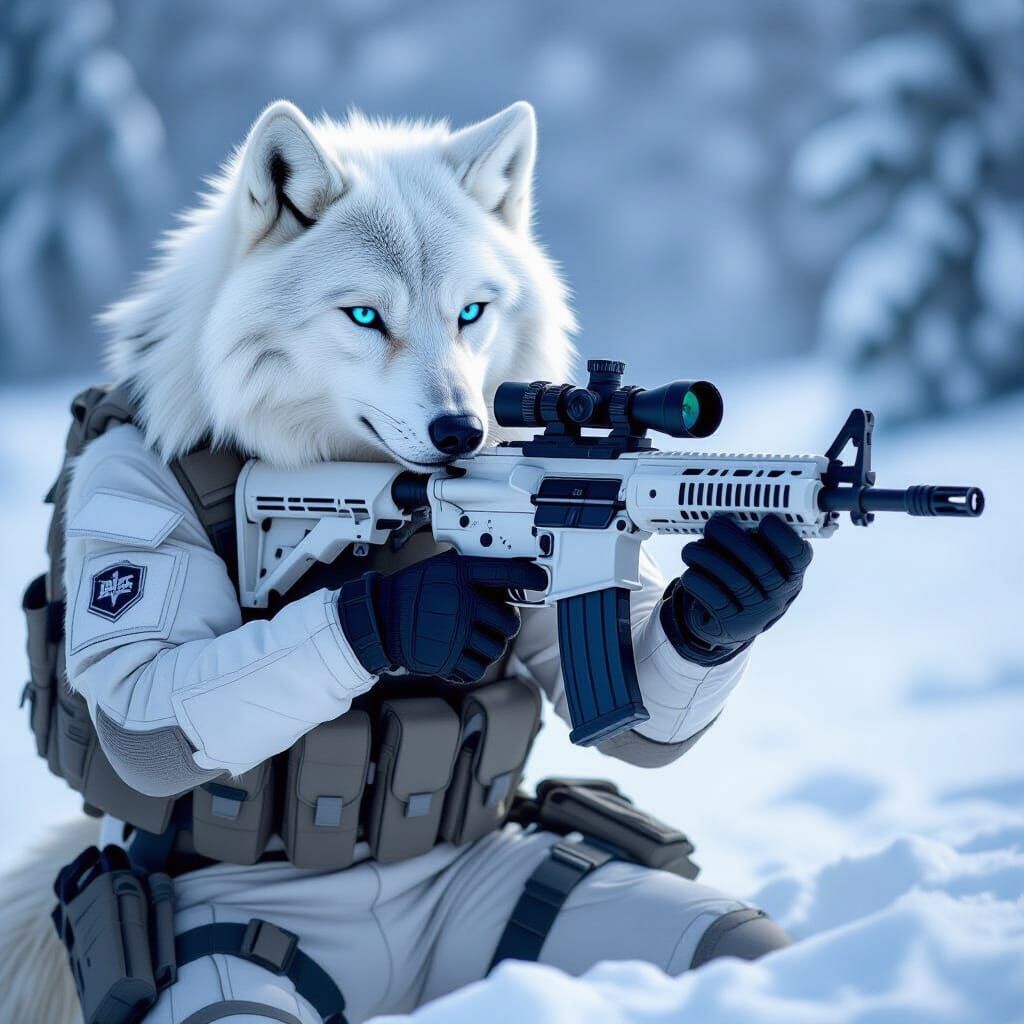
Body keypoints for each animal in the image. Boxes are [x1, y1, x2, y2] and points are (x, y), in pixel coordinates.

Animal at [1, 100, 794, 1024]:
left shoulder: (571, 574)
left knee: (731, 937)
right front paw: (412, 612)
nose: (464, 431)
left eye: (473, 312)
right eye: (365, 317)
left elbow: (642, 713)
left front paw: (734, 591)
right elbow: (144, 705)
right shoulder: (121, 476)